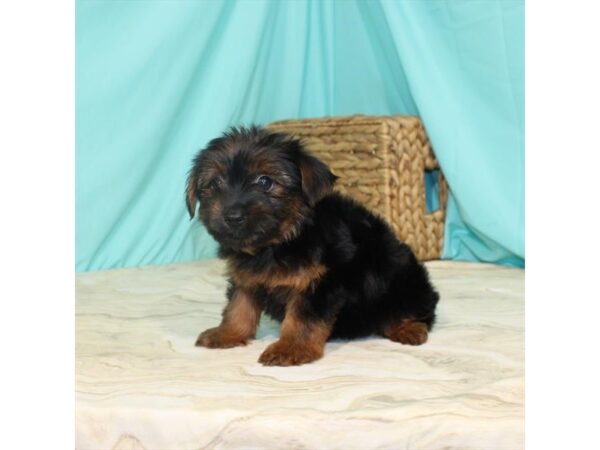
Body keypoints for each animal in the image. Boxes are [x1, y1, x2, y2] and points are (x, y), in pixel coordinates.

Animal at [185, 125, 438, 366]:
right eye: (215, 183)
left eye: (265, 181)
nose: (232, 215)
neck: (280, 240)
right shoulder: (245, 277)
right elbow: (238, 305)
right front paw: (227, 333)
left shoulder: (320, 282)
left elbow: (303, 318)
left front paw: (291, 348)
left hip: (403, 280)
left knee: (412, 309)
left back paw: (408, 327)